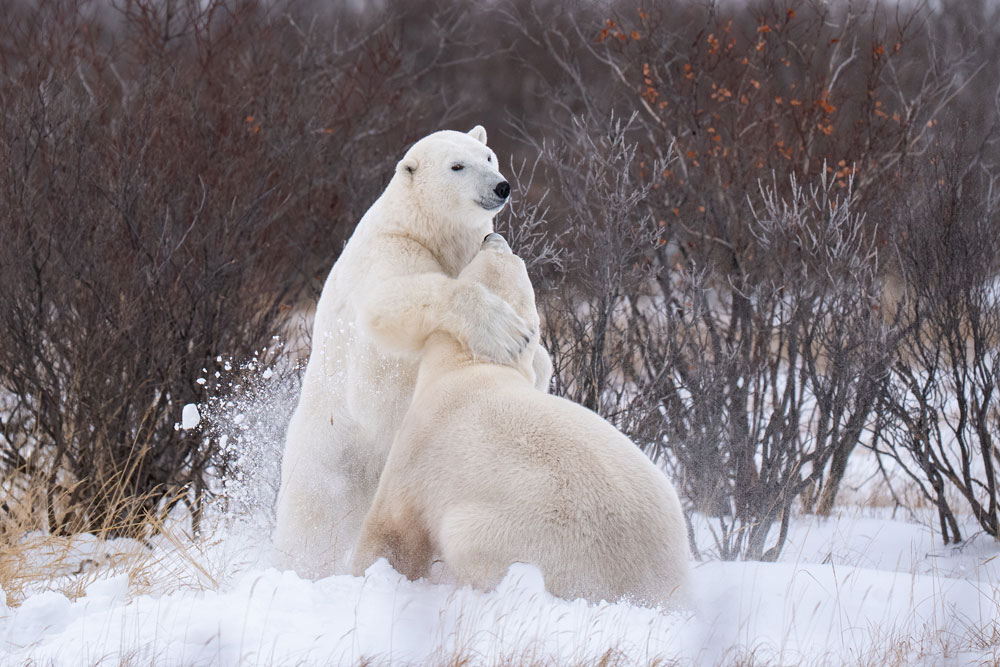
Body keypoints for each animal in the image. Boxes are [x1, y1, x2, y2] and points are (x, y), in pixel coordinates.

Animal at [273, 126, 552, 578]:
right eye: (457, 166)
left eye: (488, 156)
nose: (501, 186)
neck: (423, 227)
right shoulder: (393, 252)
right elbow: (391, 305)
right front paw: (504, 331)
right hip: (329, 458)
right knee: (313, 523)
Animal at [350, 234, 690, 606]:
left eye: (513, 257)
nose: (492, 236)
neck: (470, 365)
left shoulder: (420, 446)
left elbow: (393, 532)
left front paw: (364, 576)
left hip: (513, 535)